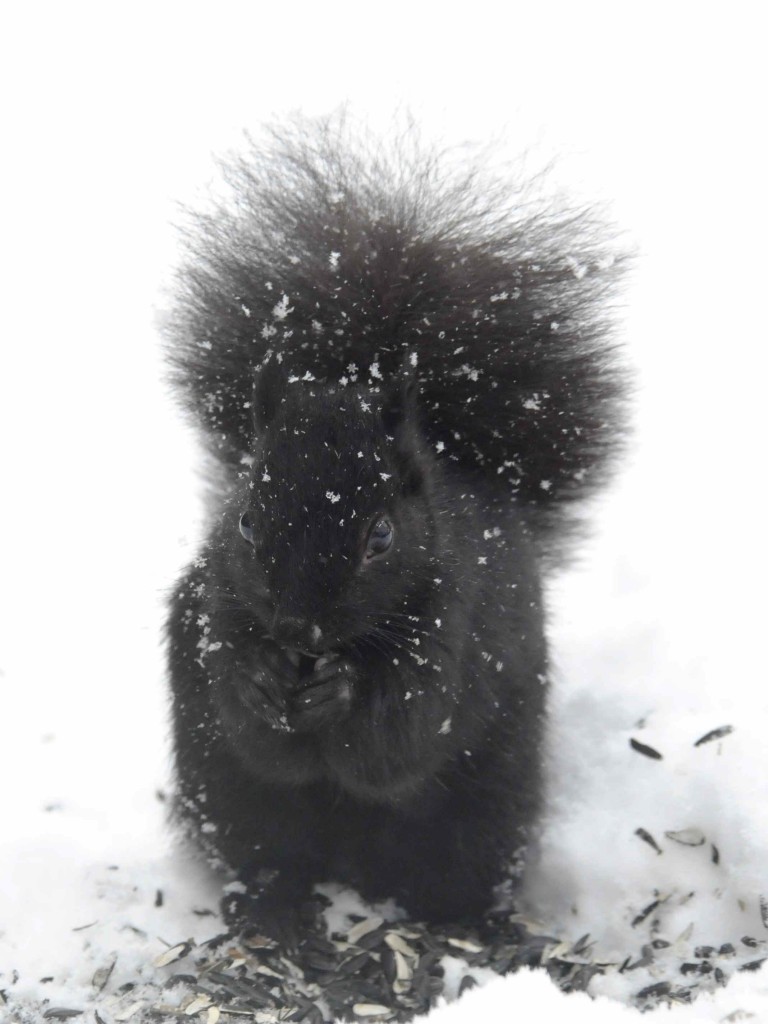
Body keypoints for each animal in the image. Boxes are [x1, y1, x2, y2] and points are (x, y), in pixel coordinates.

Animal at [165, 116, 626, 933]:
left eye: (380, 536)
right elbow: (253, 731)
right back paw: (270, 911)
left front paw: (343, 691)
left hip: (485, 810)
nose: (296, 629)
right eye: (245, 520)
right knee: (267, 853)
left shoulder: (453, 632)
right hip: (231, 799)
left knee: (455, 868)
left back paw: (466, 923)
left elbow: (398, 740)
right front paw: (257, 679)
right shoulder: (211, 607)